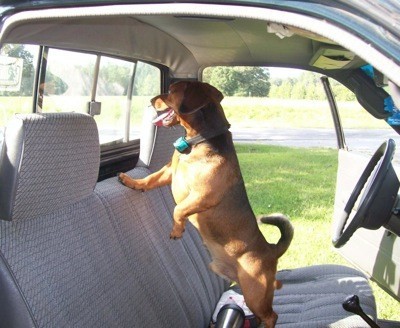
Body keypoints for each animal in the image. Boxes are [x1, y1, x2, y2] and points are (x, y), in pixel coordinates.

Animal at [119, 80, 294, 326]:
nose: (151, 100)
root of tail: (271, 250)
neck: (197, 142)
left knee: (272, 315)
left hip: (255, 293)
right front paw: (132, 181)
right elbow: (149, 180)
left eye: (171, 91)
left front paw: (177, 229)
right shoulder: (168, 172)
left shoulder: (203, 194)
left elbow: (178, 209)